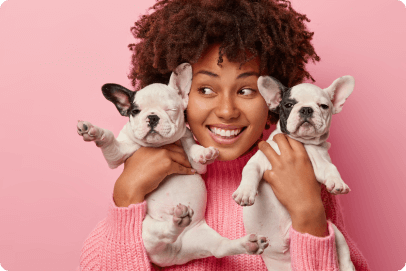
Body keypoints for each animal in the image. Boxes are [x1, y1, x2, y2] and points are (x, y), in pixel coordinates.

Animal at [76, 63, 270, 268]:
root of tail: (173, 255)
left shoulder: (194, 159)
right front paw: (94, 131)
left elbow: (192, 147)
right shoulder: (117, 154)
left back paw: (248, 244)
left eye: (171, 109)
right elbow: (110, 140)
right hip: (145, 229)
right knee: (161, 233)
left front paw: (203, 153)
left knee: (219, 248)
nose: (152, 117)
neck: (158, 145)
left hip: (203, 238)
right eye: (135, 111)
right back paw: (177, 221)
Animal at [232, 76, 356, 271]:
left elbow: (330, 168)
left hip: (333, 230)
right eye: (289, 104)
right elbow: (249, 171)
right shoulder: (259, 160)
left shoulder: (320, 161)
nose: (306, 109)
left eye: (324, 106)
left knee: (343, 251)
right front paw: (244, 193)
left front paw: (338, 183)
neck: (301, 142)